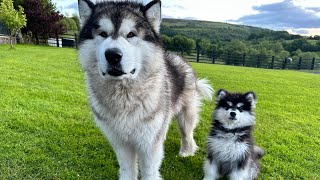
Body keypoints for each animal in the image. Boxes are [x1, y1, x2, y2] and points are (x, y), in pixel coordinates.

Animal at [77, 0, 212, 179]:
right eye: (103, 34)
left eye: (131, 34)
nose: (113, 55)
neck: (124, 95)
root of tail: (179, 58)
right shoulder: (120, 142)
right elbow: (128, 169)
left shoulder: (149, 145)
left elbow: (149, 171)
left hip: (186, 115)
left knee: (187, 133)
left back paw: (186, 151)